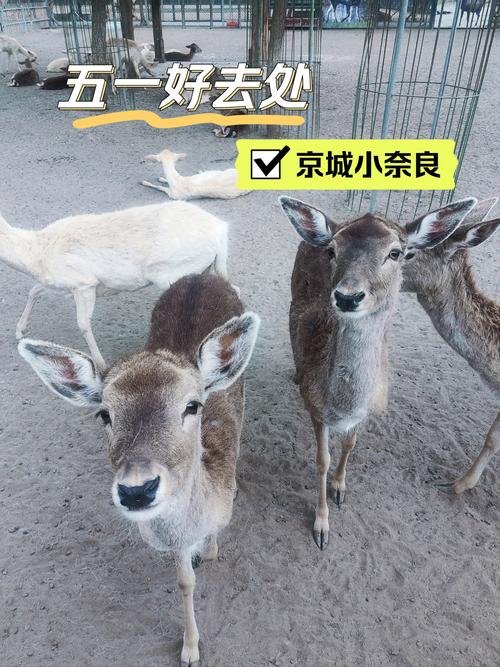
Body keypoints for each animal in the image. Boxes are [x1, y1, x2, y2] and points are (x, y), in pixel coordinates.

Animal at [0, 200, 228, 371]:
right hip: (205, 268)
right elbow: (34, 290)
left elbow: (83, 324)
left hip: (174, 273)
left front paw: (101, 364)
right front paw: (20, 331)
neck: (36, 255)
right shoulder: (61, 285)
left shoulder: (84, 284)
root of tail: (220, 232)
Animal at [18, 272, 260, 667]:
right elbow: (184, 581)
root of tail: (204, 273)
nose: (137, 489)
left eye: (192, 405)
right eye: (104, 414)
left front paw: (210, 552)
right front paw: (190, 649)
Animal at [280, 196, 477, 549]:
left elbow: (350, 445)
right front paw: (321, 527)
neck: (344, 406)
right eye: (332, 250)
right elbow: (321, 460)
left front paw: (341, 488)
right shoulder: (316, 410)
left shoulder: (370, 409)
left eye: (397, 253)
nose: (347, 296)